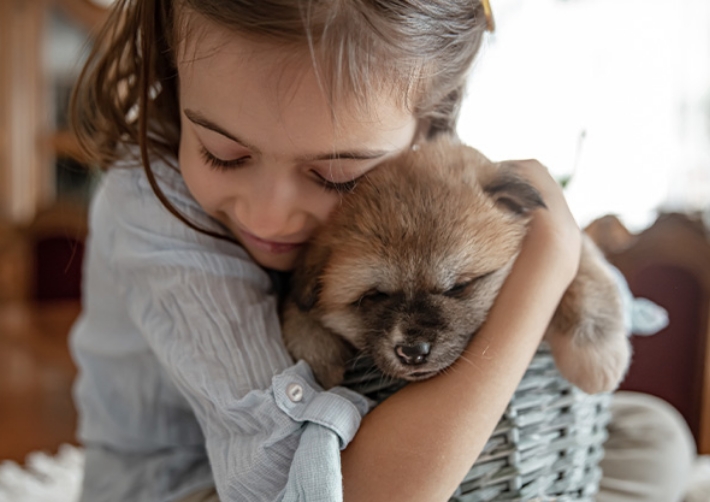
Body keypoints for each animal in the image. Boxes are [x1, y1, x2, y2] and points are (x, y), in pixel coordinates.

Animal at [280, 135, 632, 394]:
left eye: (459, 287)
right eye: (373, 296)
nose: (412, 351)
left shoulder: (575, 244)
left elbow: (588, 281)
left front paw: (595, 358)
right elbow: (297, 312)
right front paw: (318, 355)